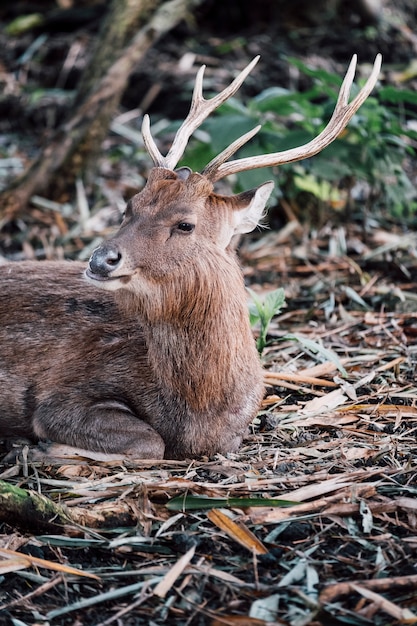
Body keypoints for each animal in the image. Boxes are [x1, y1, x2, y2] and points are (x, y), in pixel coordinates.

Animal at [0, 54, 380, 458]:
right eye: (129, 207)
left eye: (185, 224)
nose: (100, 259)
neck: (198, 414)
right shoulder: (61, 395)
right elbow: (150, 442)